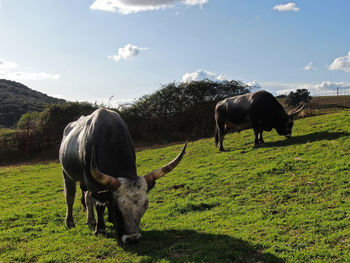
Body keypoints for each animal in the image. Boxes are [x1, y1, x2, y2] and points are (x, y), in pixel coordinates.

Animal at [58, 109, 187, 245]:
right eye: (118, 209)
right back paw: (70, 222)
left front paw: (108, 220)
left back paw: (91, 220)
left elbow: (102, 200)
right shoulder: (91, 181)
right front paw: (101, 229)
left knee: (88, 197)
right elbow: (100, 205)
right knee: (70, 197)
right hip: (66, 174)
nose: (133, 239)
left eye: (144, 207)